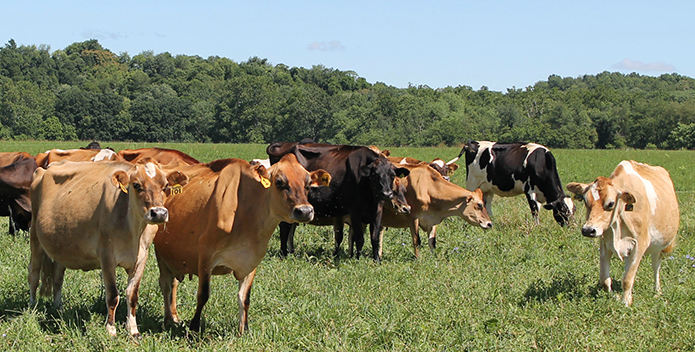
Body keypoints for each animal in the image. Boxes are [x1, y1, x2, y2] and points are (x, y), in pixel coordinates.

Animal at [28, 160, 189, 338]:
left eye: (166, 185)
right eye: (136, 185)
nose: (159, 213)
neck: (133, 231)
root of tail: (47, 167)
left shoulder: (142, 258)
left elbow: (132, 295)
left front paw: (133, 330)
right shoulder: (106, 256)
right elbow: (112, 295)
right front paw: (111, 330)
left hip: (60, 246)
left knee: (57, 277)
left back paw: (58, 307)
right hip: (35, 237)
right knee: (33, 275)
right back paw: (32, 308)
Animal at [154, 153, 332, 332]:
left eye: (308, 184)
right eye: (279, 182)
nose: (305, 211)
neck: (246, 213)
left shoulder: (251, 260)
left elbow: (244, 298)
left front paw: (243, 329)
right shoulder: (205, 256)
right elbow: (203, 294)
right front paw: (194, 327)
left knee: (173, 284)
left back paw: (174, 316)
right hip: (161, 255)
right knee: (166, 285)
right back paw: (169, 319)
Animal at [266, 142, 408, 260]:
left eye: (392, 175)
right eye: (375, 175)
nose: (387, 193)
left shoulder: (377, 211)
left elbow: (374, 238)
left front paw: (377, 260)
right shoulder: (355, 211)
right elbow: (359, 238)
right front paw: (358, 259)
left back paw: (290, 252)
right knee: (284, 227)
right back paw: (284, 254)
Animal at [568, 161, 676, 306]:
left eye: (611, 203)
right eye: (585, 201)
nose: (588, 230)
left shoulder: (640, 244)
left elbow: (628, 278)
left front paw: (625, 302)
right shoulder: (605, 244)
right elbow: (604, 279)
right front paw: (617, 296)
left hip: (658, 247)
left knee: (655, 266)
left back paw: (657, 291)